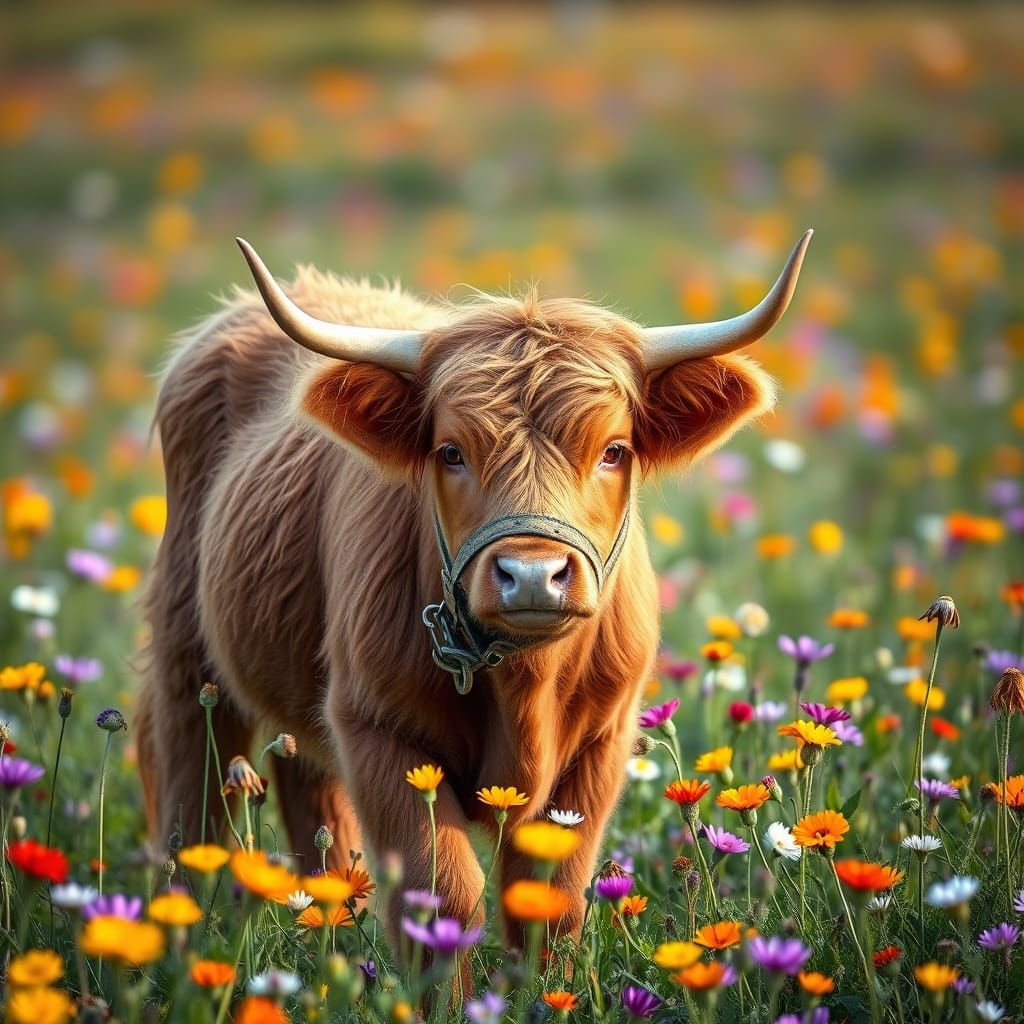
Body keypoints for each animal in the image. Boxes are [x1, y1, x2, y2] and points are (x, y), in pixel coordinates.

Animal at [136, 229, 811, 944]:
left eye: (614, 450)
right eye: (451, 452)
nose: (534, 575)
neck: (524, 686)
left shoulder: (602, 742)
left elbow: (552, 900)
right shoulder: (377, 728)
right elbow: (443, 892)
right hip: (187, 651)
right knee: (192, 793)